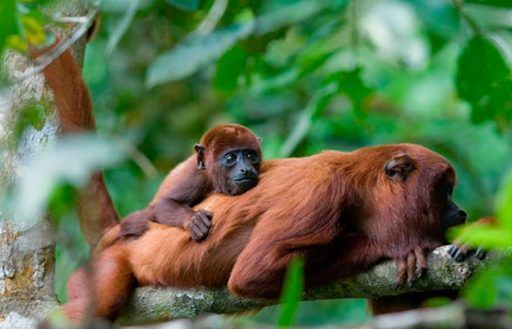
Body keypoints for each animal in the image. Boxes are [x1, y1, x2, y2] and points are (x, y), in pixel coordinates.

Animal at [65, 143, 468, 320]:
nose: (461, 211)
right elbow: (252, 273)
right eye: (444, 191)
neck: (358, 187)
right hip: (106, 265)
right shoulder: (318, 194)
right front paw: (398, 243)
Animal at [119, 123, 262, 241]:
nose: (246, 169)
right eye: (230, 158)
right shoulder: (195, 177)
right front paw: (193, 220)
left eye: (250, 156)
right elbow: (163, 203)